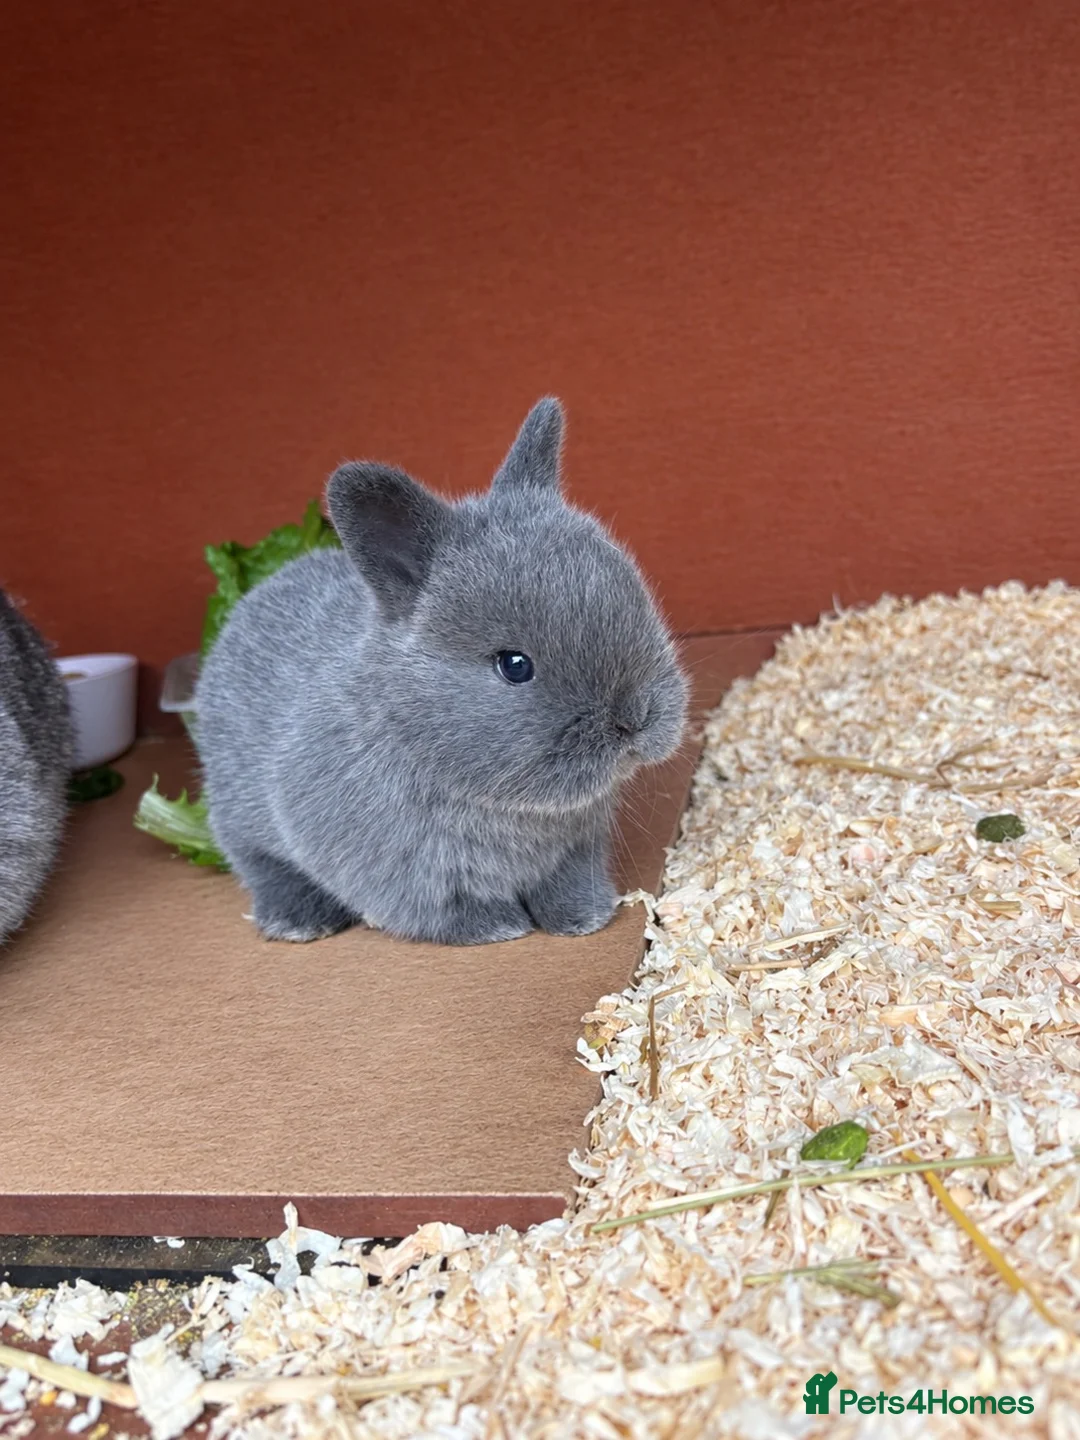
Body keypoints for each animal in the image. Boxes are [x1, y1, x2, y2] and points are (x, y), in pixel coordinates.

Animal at [195, 398, 688, 945]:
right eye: (515, 666)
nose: (635, 720)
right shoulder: (407, 874)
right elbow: (441, 908)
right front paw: (496, 928)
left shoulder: (577, 849)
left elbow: (566, 884)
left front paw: (585, 917)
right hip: (240, 816)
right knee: (259, 864)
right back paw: (299, 922)